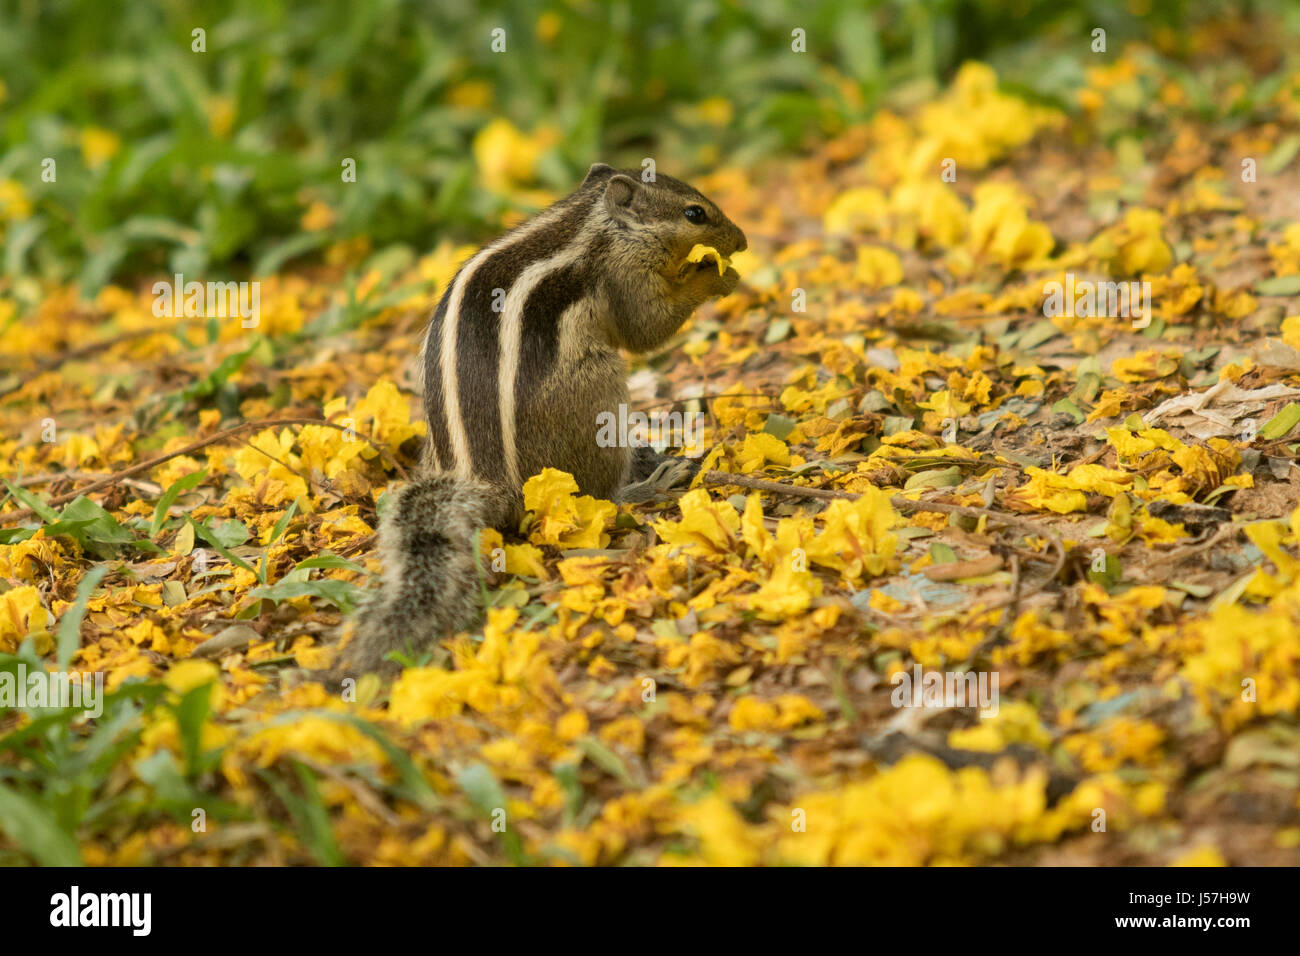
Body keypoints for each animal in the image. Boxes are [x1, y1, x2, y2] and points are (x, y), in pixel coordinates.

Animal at [337, 163, 747, 676]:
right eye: (695, 213)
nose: (742, 241)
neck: (595, 221)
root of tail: (487, 481)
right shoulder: (623, 274)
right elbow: (646, 327)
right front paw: (714, 275)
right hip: (595, 397)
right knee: (600, 494)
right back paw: (650, 484)